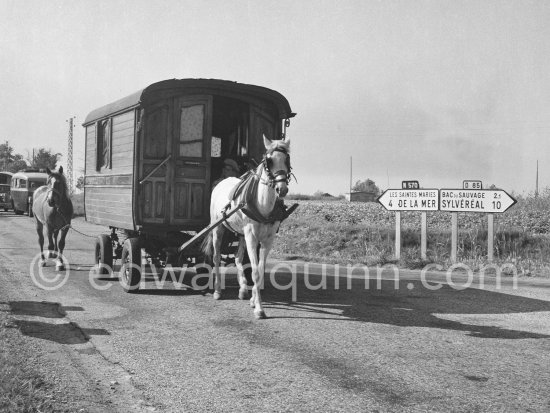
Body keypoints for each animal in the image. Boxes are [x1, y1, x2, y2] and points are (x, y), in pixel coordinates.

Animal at [204, 135, 294, 318]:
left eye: (287, 159)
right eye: (268, 161)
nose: (281, 189)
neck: (263, 204)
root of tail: (221, 182)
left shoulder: (268, 239)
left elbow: (260, 268)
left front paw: (253, 300)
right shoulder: (252, 237)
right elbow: (255, 271)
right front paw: (259, 309)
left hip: (241, 234)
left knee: (238, 258)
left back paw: (243, 289)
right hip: (218, 228)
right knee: (216, 257)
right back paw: (217, 290)